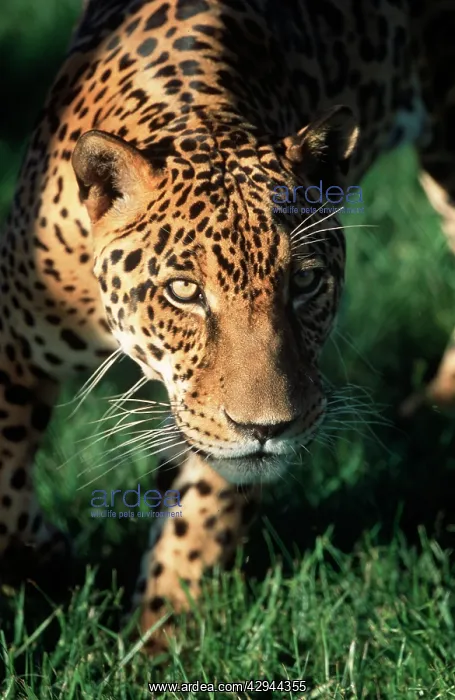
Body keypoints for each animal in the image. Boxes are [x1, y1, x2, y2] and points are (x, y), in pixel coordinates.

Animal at [1, 0, 455, 653]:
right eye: (185, 292)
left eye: (305, 282)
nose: (267, 429)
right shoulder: (15, 337)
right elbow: (5, 480)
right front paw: (40, 559)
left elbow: (200, 518)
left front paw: (156, 644)